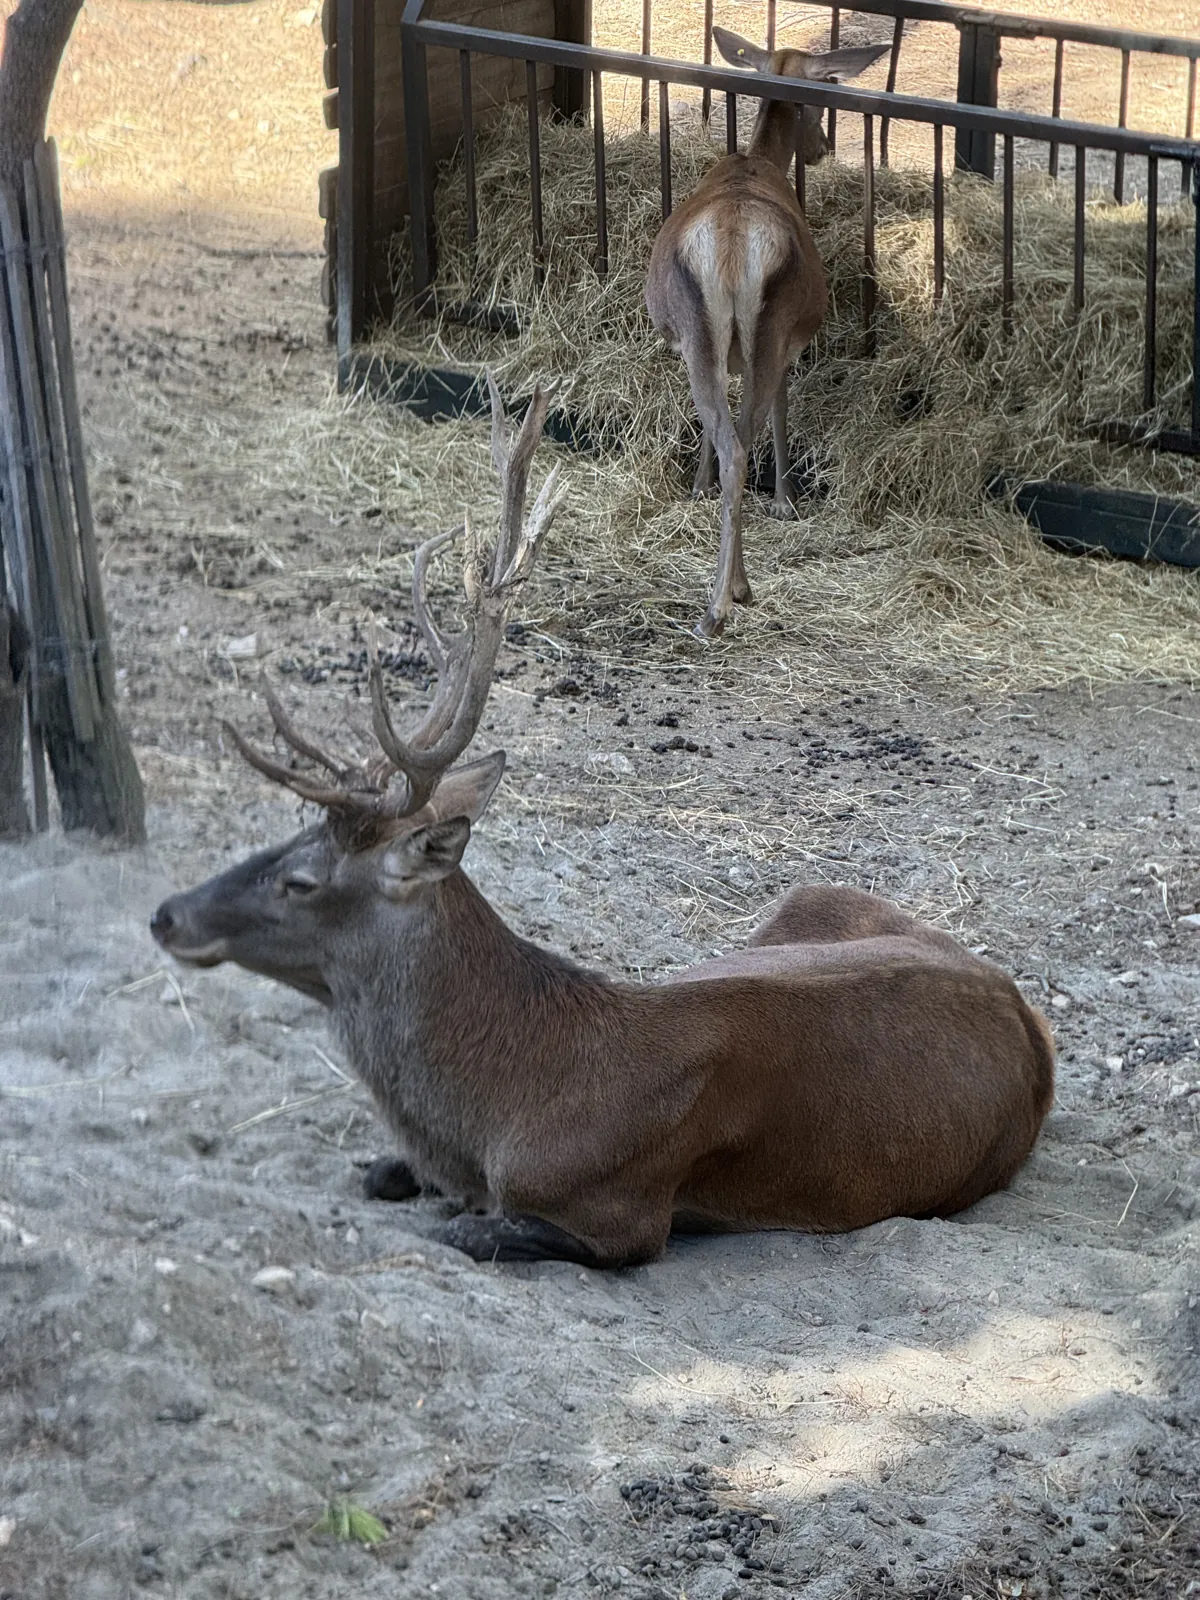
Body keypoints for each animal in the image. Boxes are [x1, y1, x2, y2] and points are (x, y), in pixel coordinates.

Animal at [151, 379, 1055, 1270]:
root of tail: (1026, 1013)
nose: (165, 914)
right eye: (281, 839)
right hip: (811, 895)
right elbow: (386, 1173)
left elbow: (477, 1228)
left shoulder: (623, 1210)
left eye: (300, 880)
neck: (504, 1109)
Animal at [646, 28, 889, 638]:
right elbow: (781, 412)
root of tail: (732, 245)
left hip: (700, 334)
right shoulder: (791, 342)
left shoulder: (694, 345)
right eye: (826, 87)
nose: (823, 147)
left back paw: (717, 595)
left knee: (727, 431)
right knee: (744, 439)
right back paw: (729, 596)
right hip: (772, 328)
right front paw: (784, 498)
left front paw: (697, 485)